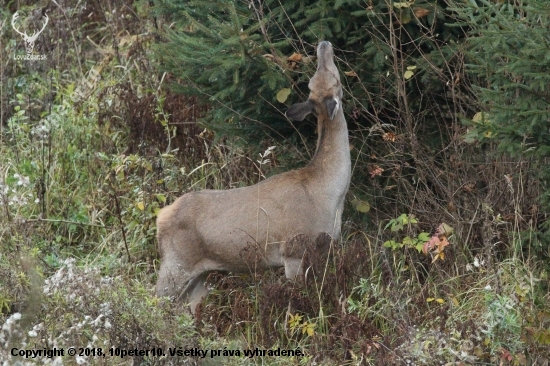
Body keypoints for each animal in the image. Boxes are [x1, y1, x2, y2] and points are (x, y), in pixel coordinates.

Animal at [157, 41, 352, 314]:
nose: (324, 45)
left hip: (198, 275)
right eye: (334, 78)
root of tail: (161, 217)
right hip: (174, 264)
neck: (329, 193)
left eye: (319, 79)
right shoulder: (293, 249)